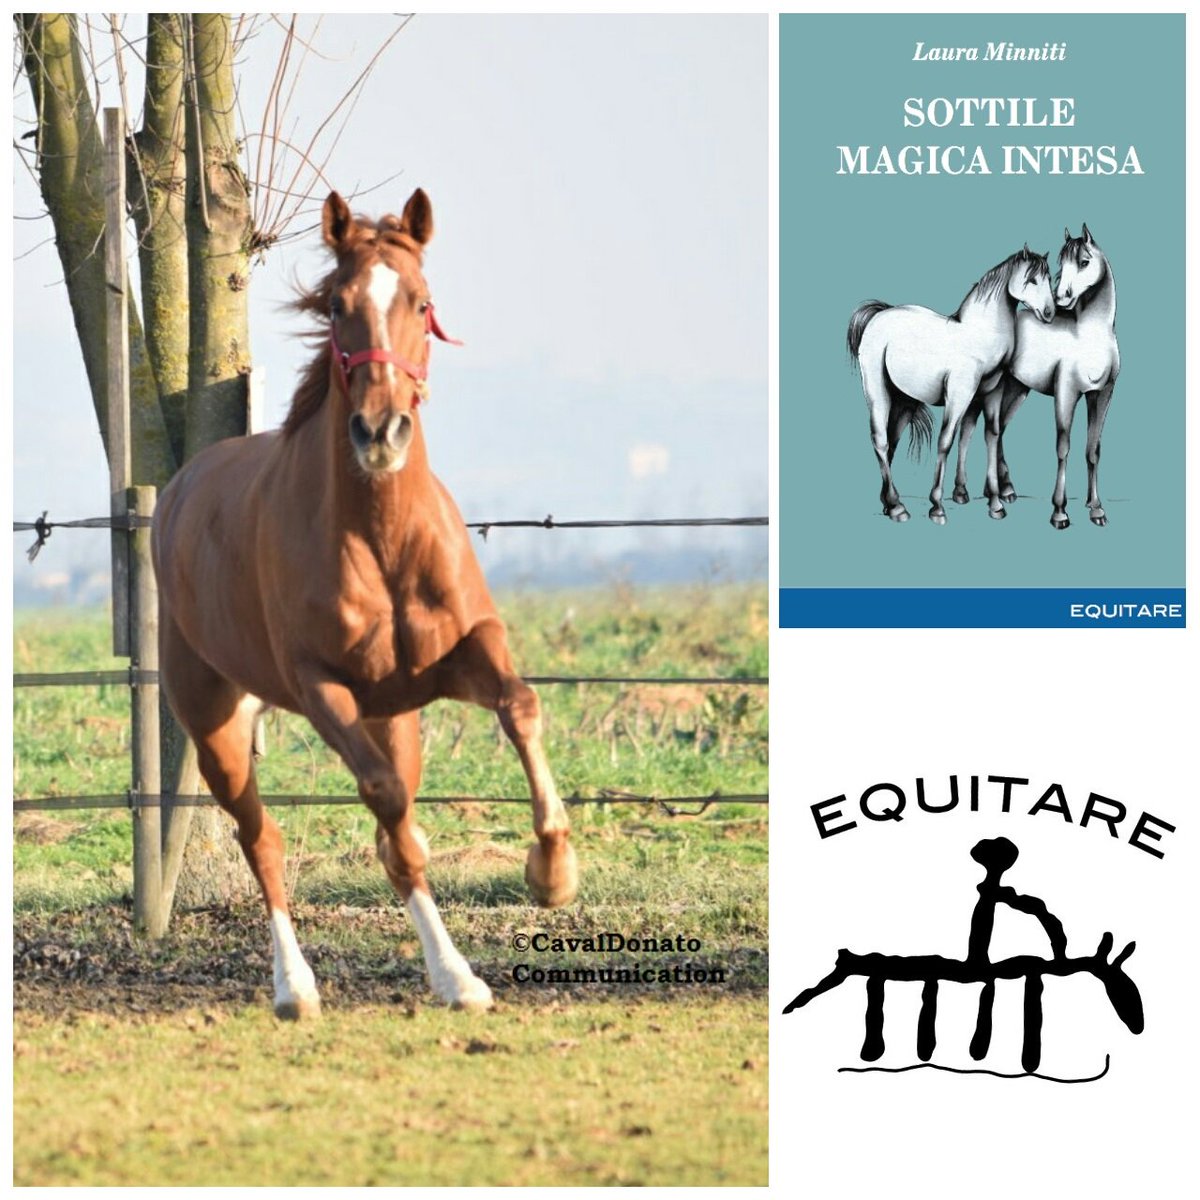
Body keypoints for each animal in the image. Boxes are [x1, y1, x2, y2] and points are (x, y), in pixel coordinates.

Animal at [152, 189, 578, 1019]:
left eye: (422, 301)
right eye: (338, 305)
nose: (381, 432)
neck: (381, 539)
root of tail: (179, 490)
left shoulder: (461, 653)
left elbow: (520, 706)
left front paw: (551, 873)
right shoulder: (323, 688)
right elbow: (390, 813)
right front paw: (457, 977)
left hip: (395, 717)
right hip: (216, 722)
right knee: (263, 840)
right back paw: (294, 987)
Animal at [847, 247, 1056, 524]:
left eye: (1048, 278)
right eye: (1032, 279)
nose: (1050, 313)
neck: (978, 336)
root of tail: (879, 314)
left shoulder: (989, 394)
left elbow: (989, 435)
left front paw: (994, 504)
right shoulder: (959, 395)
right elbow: (946, 440)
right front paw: (937, 506)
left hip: (905, 401)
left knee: (891, 441)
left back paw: (889, 503)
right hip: (877, 393)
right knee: (880, 440)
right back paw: (897, 507)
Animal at [953, 225, 1120, 528]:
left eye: (1084, 262)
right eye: (1061, 264)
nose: (1061, 298)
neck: (1089, 337)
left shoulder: (1102, 395)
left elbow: (1093, 450)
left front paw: (1096, 509)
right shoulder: (1066, 394)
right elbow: (1063, 448)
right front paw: (1060, 512)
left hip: (1017, 389)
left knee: (999, 428)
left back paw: (1003, 490)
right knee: (973, 428)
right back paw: (968, 492)